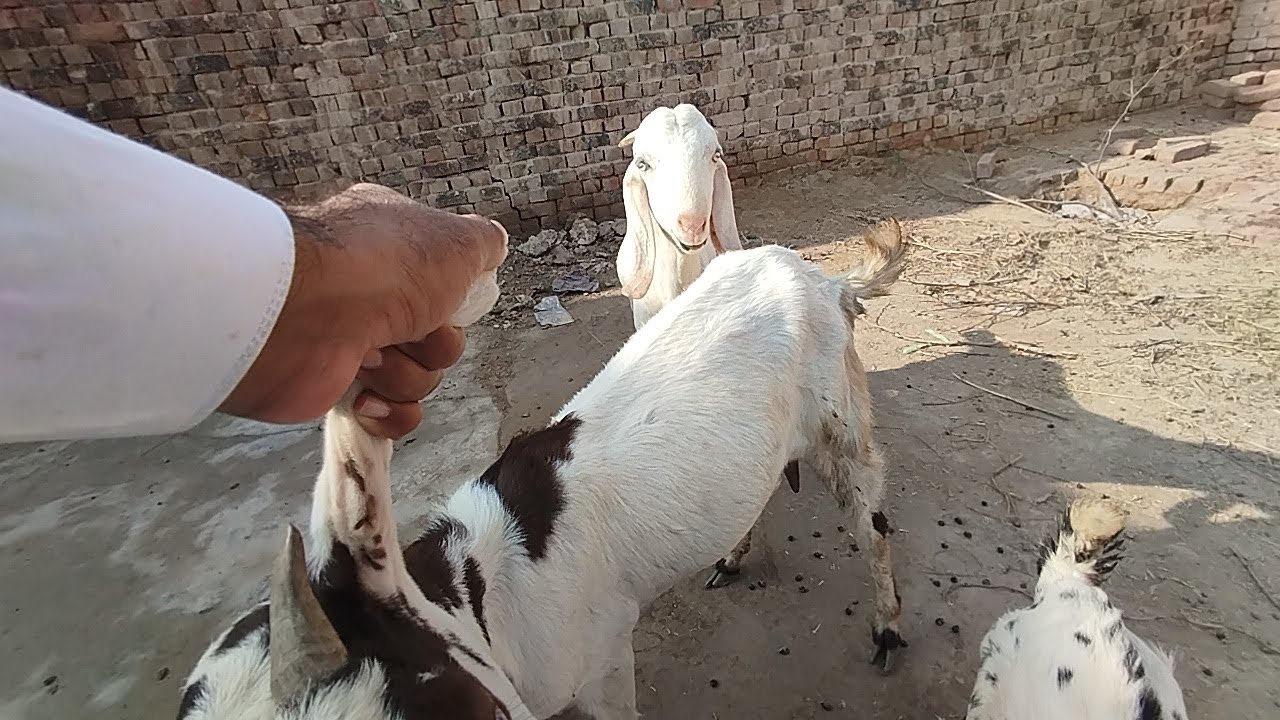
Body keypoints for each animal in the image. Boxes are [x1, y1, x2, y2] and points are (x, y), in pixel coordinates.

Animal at [179, 221, 909, 719]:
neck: (485, 592)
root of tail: (825, 280)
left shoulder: (603, 660)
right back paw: (735, 555)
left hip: (839, 420)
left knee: (870, 516)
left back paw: (887, 628)